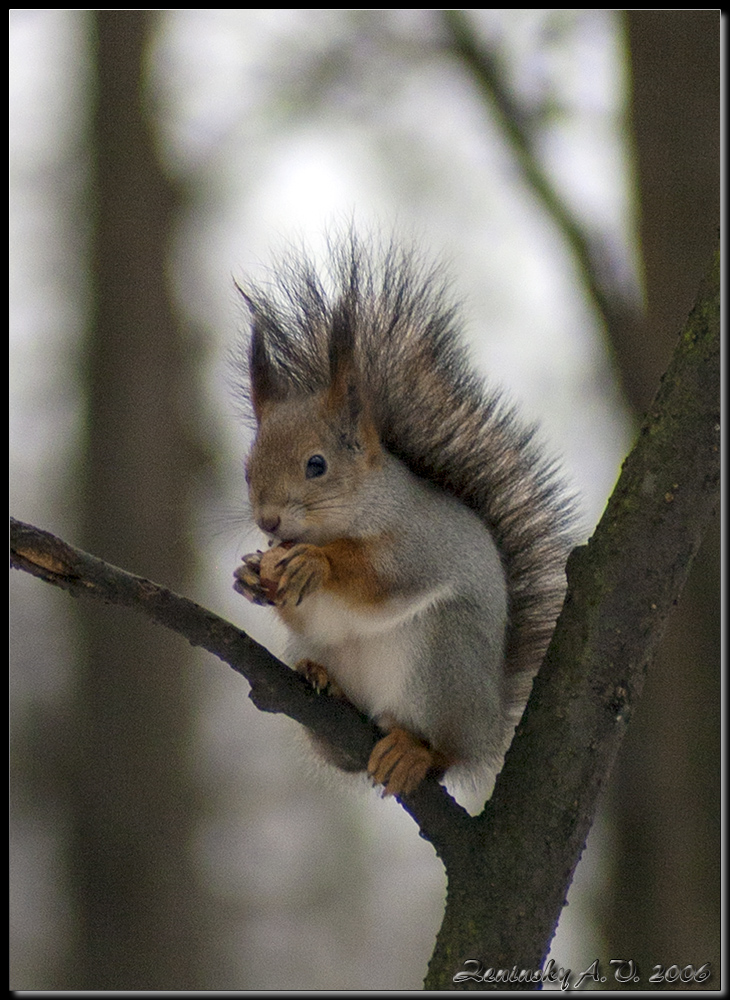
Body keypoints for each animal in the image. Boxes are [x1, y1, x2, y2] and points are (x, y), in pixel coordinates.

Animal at [230, 232, 572, 796]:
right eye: (247, 469)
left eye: (317, 465)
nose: (269, 522)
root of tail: (489, 723)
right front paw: (252, 576)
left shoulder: (418, 541)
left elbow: (380, 576)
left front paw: (316, 563)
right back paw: (325, 682)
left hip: (441, 658)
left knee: (446, 752)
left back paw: (414, 752)